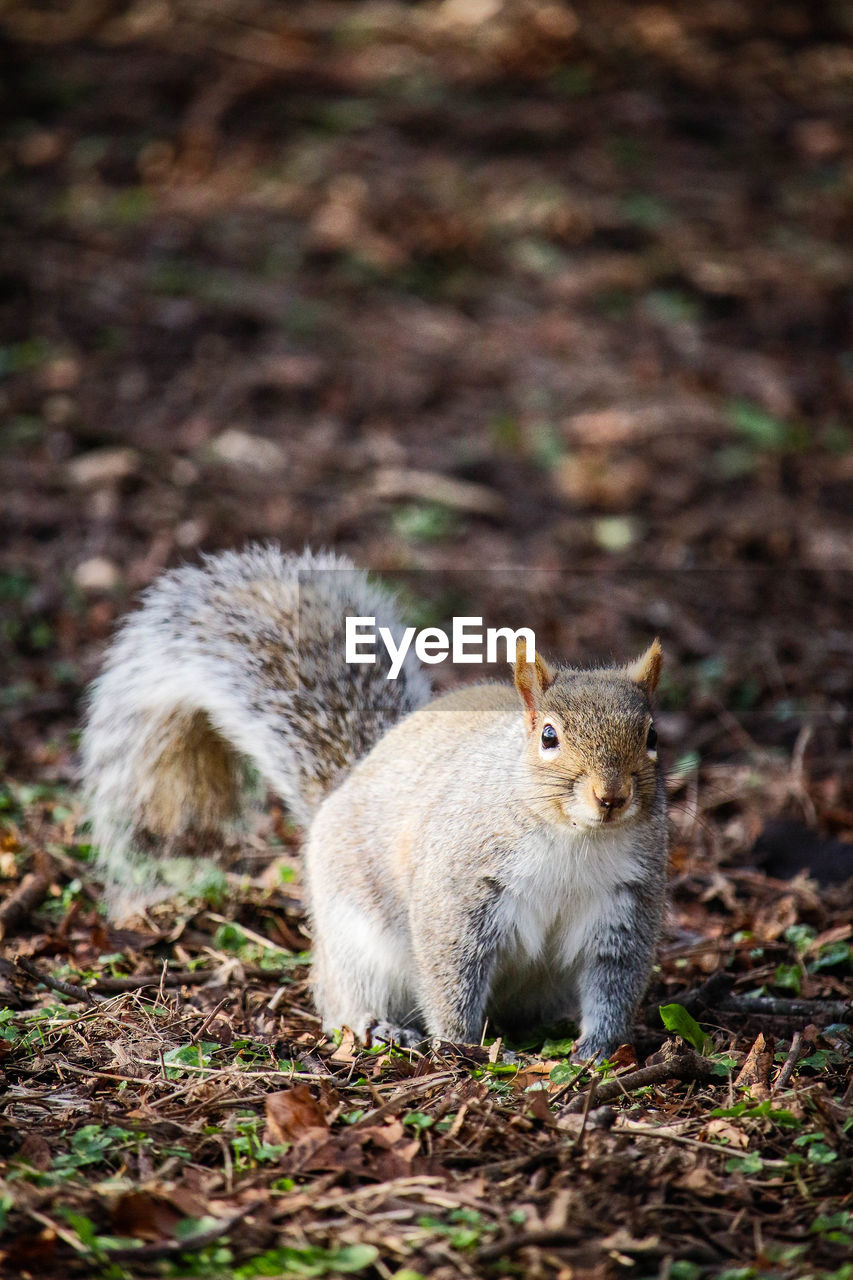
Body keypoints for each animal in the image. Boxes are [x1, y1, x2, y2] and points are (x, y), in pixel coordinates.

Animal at [81, 542, 666, 1059]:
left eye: (653, 735)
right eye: (548, 736)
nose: (611, 796)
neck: (575, 838)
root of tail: (345, 786)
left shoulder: (626, 901)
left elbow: (615, 981)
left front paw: (598, 1048)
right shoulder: (460, 883)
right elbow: (452, 969)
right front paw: (459, 1045)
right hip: (355, 937)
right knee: (340, 1000)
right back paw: (380, 1027)